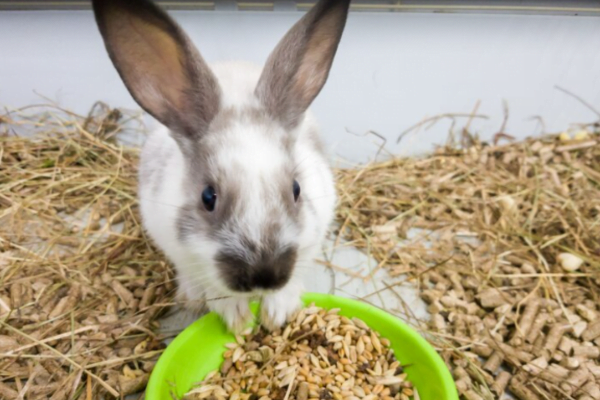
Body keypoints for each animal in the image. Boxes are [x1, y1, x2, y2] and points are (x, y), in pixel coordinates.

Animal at [91, 0, 350, 332]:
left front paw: (275, 312)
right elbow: (215, 289)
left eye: (297, 190)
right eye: (208, 197)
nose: (264, 277)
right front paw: (238, 319)